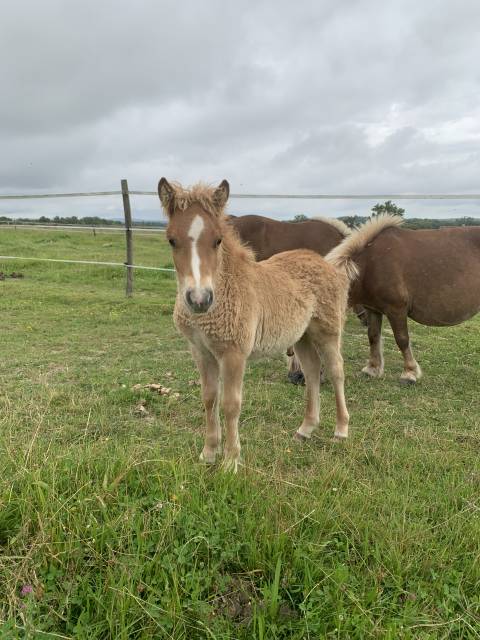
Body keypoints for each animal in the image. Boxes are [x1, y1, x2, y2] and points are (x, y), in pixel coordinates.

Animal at [159, 178, 354, 472]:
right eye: (171, 240)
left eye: (217, 240)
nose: (199, 299)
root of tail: (326, 264)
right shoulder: (200, 351)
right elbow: (209, 399)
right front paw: (208, 453)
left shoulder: (234, 353)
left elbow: (230, 404)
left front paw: (230, 462)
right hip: (302, 335)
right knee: (311, 371)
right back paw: (305, 429)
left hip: (328, 330)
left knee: (335, 371)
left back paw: (341, 430)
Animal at [326, 215, 480, 382]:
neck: (370, 265)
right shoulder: (372, 309)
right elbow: (373, 336)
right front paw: (372, 369)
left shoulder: (396, 309)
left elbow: (402, 339)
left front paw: (409, 373)